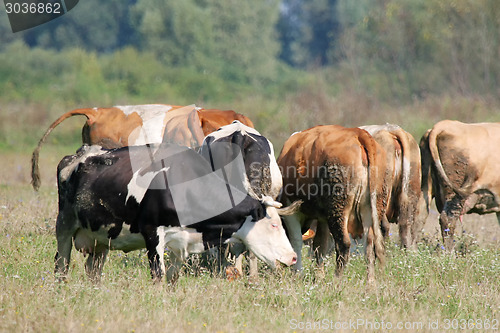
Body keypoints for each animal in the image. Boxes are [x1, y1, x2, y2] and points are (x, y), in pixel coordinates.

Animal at [54, 143, 296, 282]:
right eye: (274, 225)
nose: (293, 257)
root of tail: (78, 154)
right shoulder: (153, 234)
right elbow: (159, 277)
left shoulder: (182, 243)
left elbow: (172, 278)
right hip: (64, 225)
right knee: (61, 264)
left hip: (101, 238)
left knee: (93, 270)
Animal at [278, 126, 386, 282]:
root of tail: (357, 133)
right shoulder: (322, 217)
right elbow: (320, 245)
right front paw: (319, 276)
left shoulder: (291, 211)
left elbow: (296, 241)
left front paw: (297, 273)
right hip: (372, 207)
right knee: (370, 245)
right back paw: (370, 282)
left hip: (338, 209)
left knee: (343, 244)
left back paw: (336, 280)